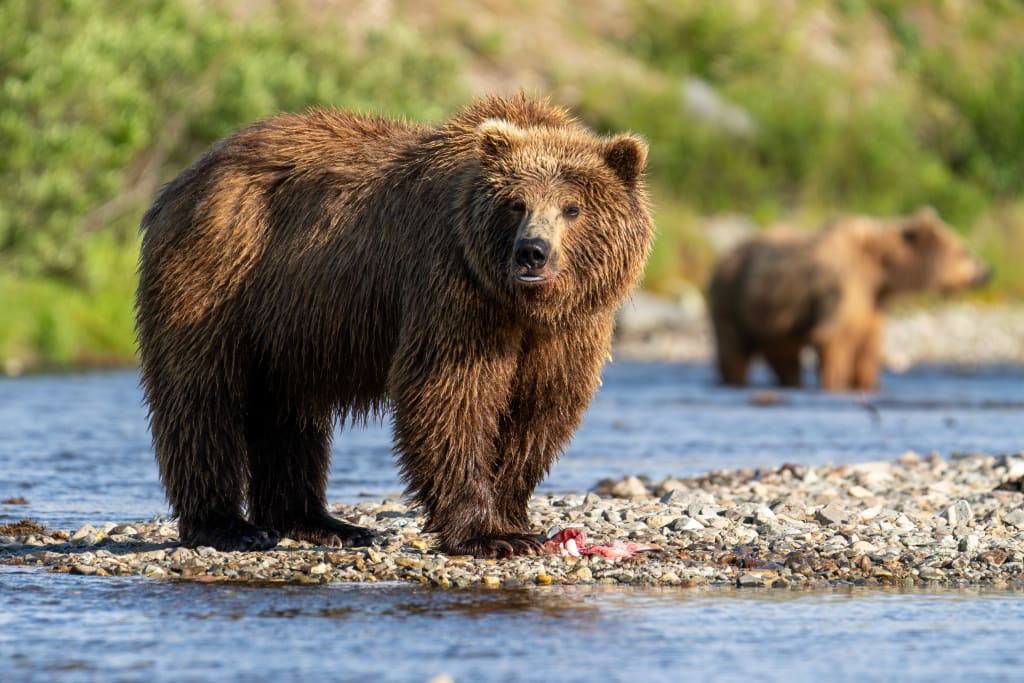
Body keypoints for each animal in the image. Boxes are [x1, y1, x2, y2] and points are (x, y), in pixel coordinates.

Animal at [135, 93, 653, 558]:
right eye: (516, 204)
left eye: (572, 207)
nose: (532, 252)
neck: (521, 305)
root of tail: (184, 178)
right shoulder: (453, 287)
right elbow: (451, 396)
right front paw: (487, 535)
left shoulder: (570, 329)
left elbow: (540, 409)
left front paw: (514, 520)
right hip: (219, 271)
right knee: (202, 397)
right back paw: (229, 526)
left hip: (288, 324)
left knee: (287, 412)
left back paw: (321, 522)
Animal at [707, 207, 990, 391]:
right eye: (964, 250)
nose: (988, 271)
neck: (880, 273)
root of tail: (720, 258)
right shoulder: (842, 289)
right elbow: (834, 339)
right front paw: (835, 382)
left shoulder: (871, 303)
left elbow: (867, 345)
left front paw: (867, 382)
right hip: (730, 301)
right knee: (734, 350)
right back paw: (734, 380)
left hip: (774, 316)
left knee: (784, 355)